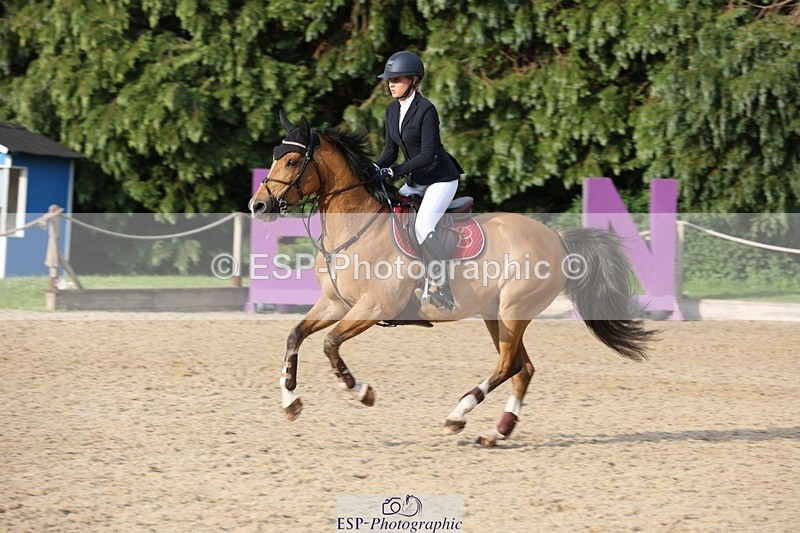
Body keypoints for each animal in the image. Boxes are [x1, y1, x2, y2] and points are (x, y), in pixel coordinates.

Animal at [249, 111, 656, 446]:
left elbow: (331, 344)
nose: (258, 205)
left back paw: (458, 415)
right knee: (522, 369)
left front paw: (362, 392)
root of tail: (556, 238)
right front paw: (291, 401)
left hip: (513, 310)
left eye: (291, 160)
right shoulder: (335, 303)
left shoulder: (374, 306)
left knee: (508, 366)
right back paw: (496, 432)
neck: (356, 228)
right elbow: (296, 335)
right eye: (275, 157)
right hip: (496, 315)